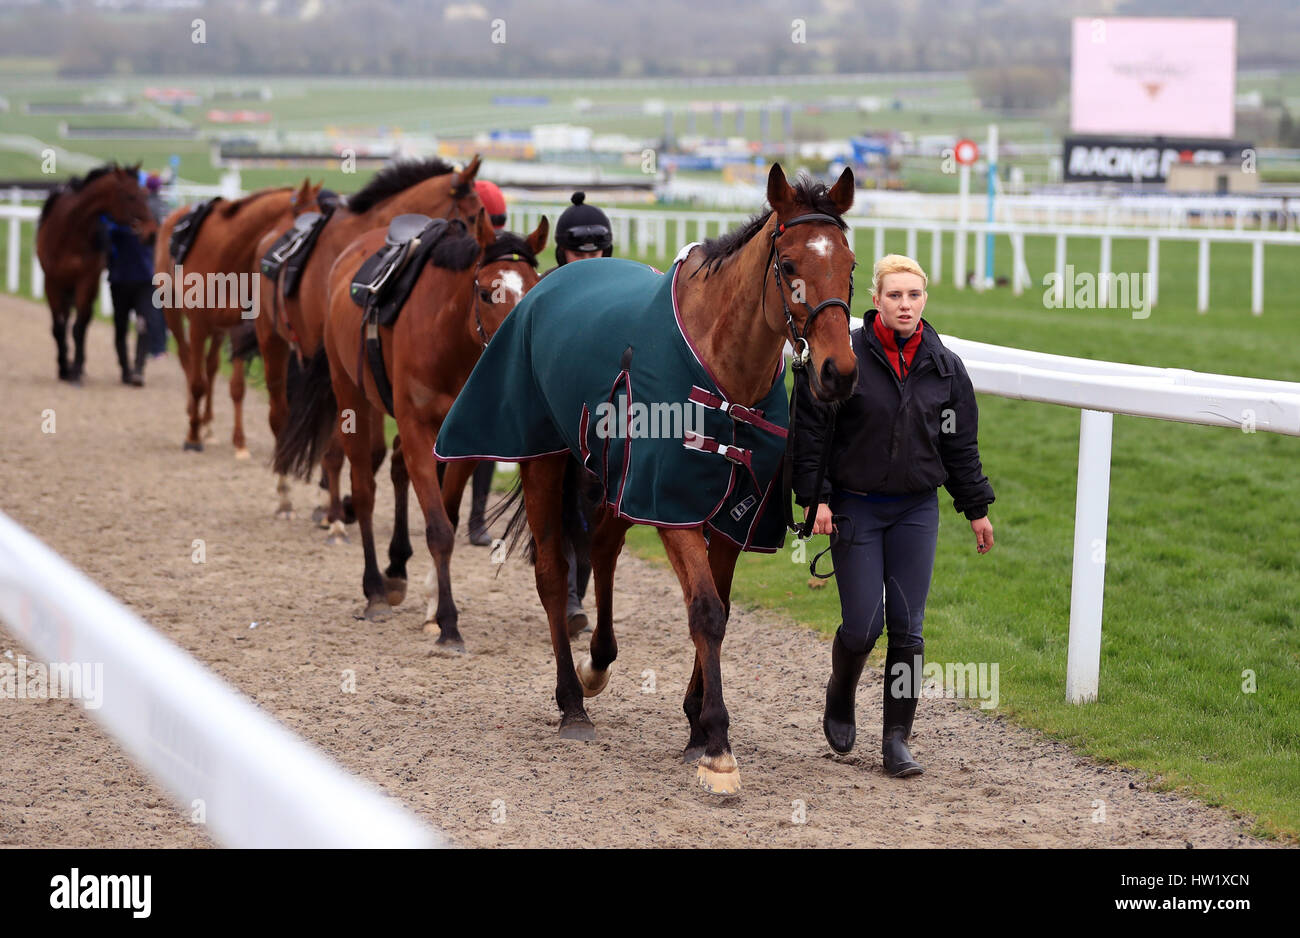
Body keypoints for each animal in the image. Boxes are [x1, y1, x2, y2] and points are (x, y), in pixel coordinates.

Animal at [36, 162, 157, 381]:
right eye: (130, 196)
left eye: (144, 193)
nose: (152, 232)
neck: (70, 231)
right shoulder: (52, 281)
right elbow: (58, 327)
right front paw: (63, 368)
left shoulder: (87, 279)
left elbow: (79, 327)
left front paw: (75, 370)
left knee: (83, 320)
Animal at [155, 177, 325, 452]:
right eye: (307, 227)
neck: (227, 254)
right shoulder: (198, 325)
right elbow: (197, 382)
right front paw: (192, 436)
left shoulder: (239, 325)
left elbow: (236, 386)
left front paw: (239, 440)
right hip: (172, 311)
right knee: (187, 359)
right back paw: (194, 415)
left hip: (218, 328)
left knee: (211, 366)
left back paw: (207, 422)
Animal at [249, 157, 483, 530]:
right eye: (473, 214)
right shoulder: (333, 363)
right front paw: (334, 512)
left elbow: (369, 449)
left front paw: (340, 506)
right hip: (272, 341)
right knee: (279, 415)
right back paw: (286, 495)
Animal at [278, 207, 548, 644]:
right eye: (487, 292)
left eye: (536, 288)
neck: (447, 342)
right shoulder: (417, 426)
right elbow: (437, 528)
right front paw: (449, 624)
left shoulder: (462, 437)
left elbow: (447, 518)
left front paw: (434, 606)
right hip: (351, 392)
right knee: (364, 488)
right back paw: (374, 588)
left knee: (395, 468)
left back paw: (396, 567)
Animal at [436, 166, 863, 789]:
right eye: (787, 266)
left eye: (850, 265)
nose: (838, 372)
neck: (724, 372)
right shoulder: (672, 504)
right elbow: (705, 610)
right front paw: (716, 743)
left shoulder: (733, 511)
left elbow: (719, 604)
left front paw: (695, 722)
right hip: (545, 455)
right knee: (551, 571)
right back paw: (572, 701)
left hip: (616, 474)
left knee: (603, 545)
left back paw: (598, 661)